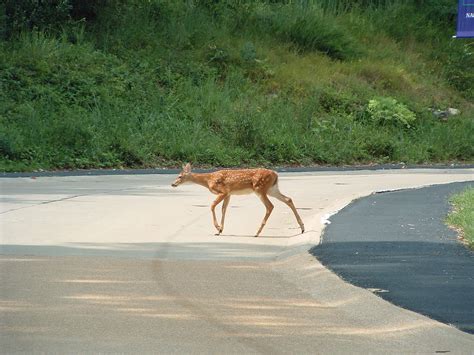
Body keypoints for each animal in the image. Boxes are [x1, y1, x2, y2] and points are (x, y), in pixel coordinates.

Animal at [172, 163, 306, 236]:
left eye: (180, 176)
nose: (173, 184)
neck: (208, 180)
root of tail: (276, 174)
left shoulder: (223, 191)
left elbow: (212, 205)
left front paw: (217, 228)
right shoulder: (229, 194)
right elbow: (224, 209)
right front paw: (220, 230)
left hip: (260, 188)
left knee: (270, 206)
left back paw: (257, 232)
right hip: (272, 189)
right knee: (288, 199)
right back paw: (302, 227)